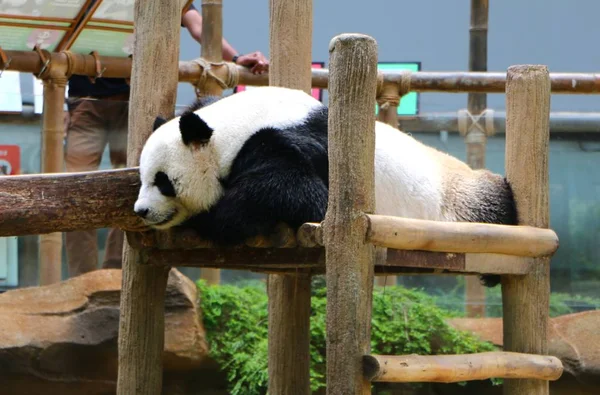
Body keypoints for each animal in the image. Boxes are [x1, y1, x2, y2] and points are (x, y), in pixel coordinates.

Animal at [134, 86, 516, 288]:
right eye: (142, 177)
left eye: (162, 181)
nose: (141, 210)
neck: (231, 128)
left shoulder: (283, 145)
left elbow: (298, 195)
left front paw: (208, 217)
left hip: (460, 200)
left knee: (495, 209)